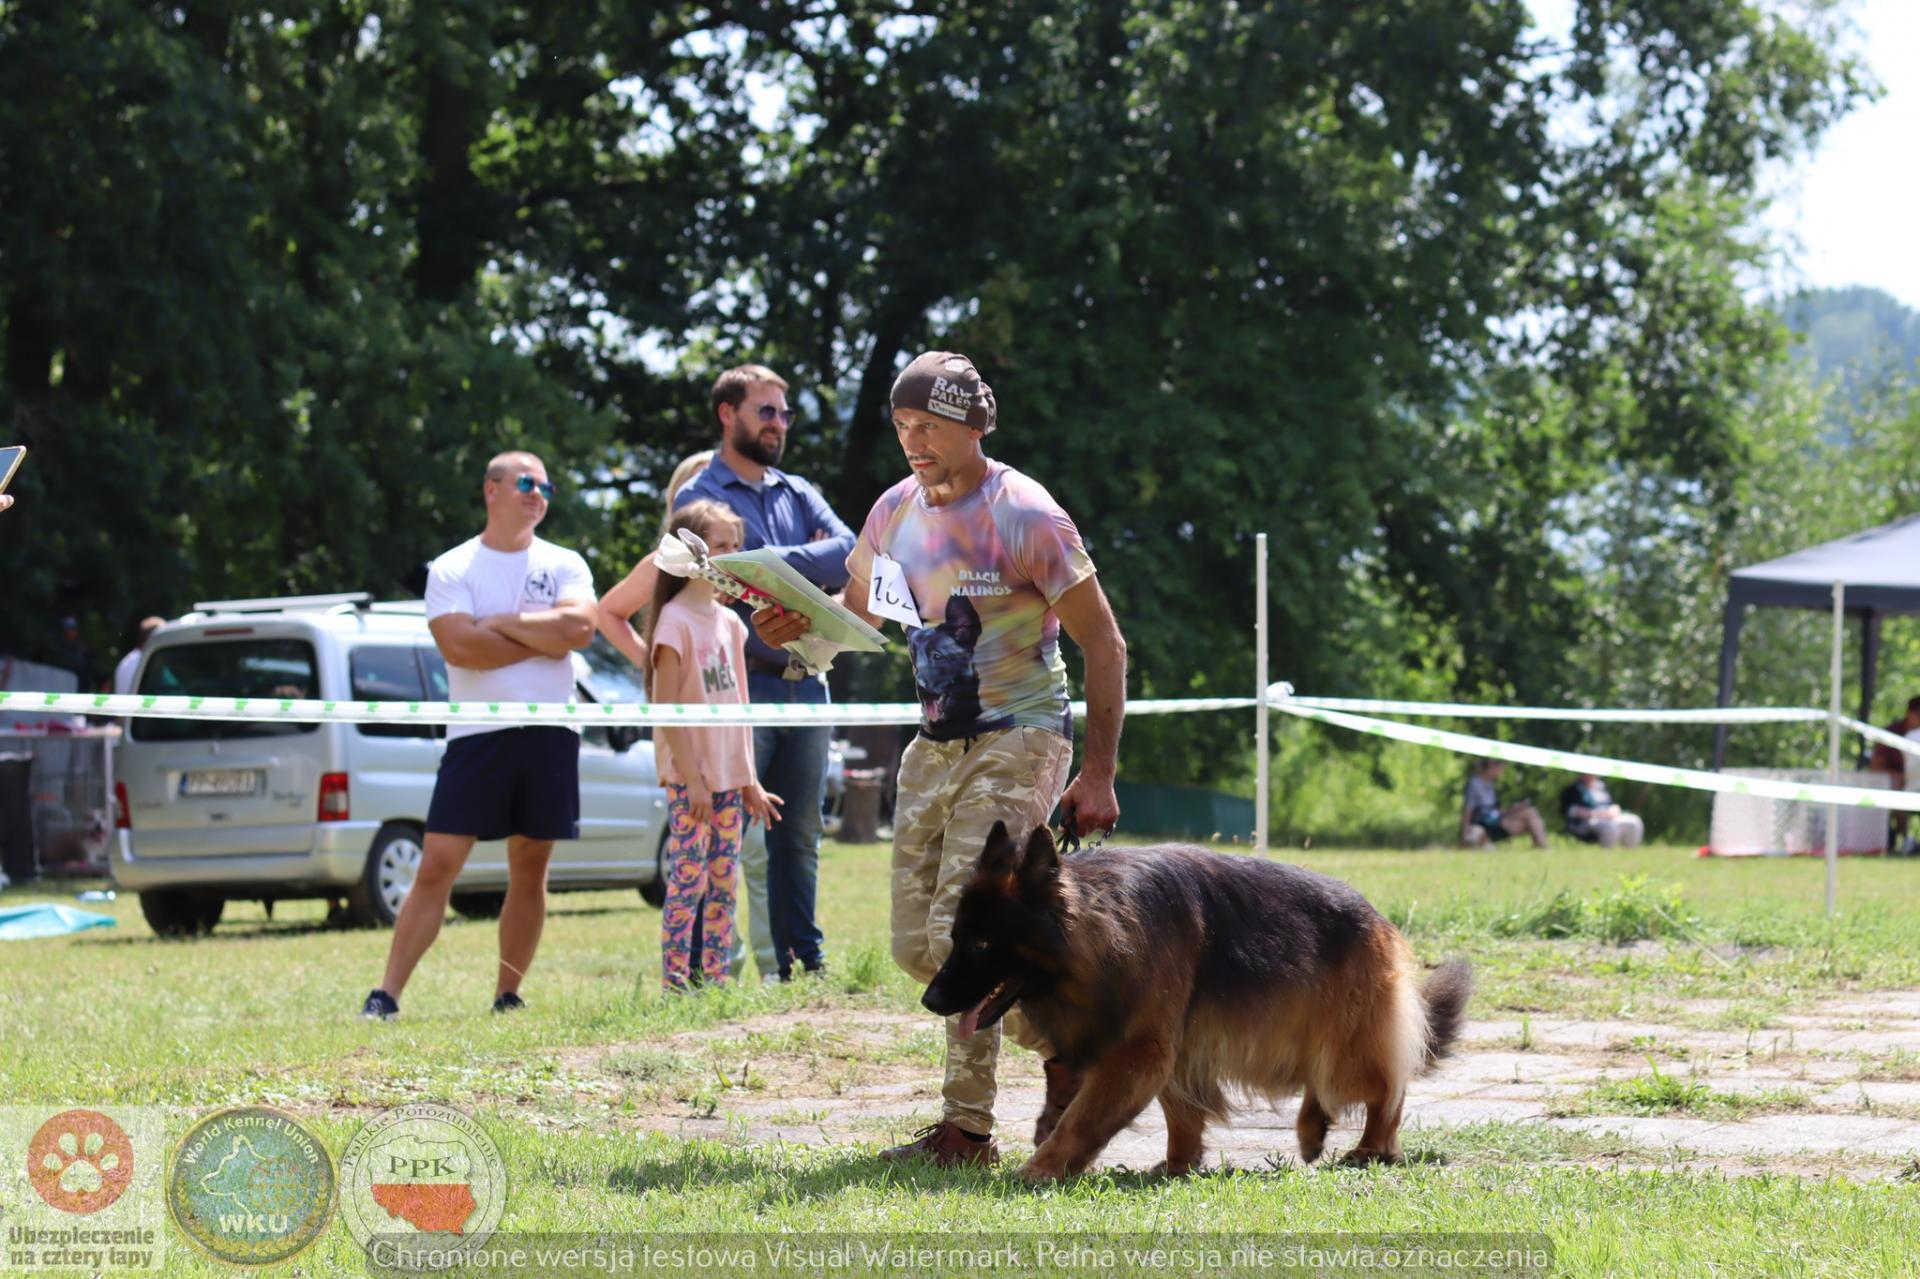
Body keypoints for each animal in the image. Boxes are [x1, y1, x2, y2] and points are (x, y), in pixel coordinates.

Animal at [921, 822, 1471, 1180]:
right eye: (955, 938)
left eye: (983, 944)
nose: (929, 999)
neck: (1102, 930)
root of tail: (1378, 918)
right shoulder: (1172, 1048)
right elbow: (1180, 1111)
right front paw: (1178, 1164)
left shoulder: (1139, 1051)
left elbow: (1082, 1119)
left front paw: (1043, 1168)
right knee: (1330, 1078)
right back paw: (1312, 1129)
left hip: (1344, 1048)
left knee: (1387, 1087)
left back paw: (1374, 1145)